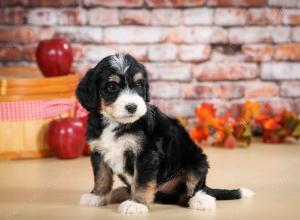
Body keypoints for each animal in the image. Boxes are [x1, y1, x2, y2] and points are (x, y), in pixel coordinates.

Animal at [76, 54, 254, 214]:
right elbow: (102, 176)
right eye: (112, 86)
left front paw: (137, 203)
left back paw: (201, 200)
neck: (116, 123)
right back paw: (120, 193)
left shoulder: (147, 153)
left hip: (198, 161)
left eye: (139, 84)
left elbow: (142, 180)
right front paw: (97, 196)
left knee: (193, 190)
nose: (132, 107)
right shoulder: (98, 151)